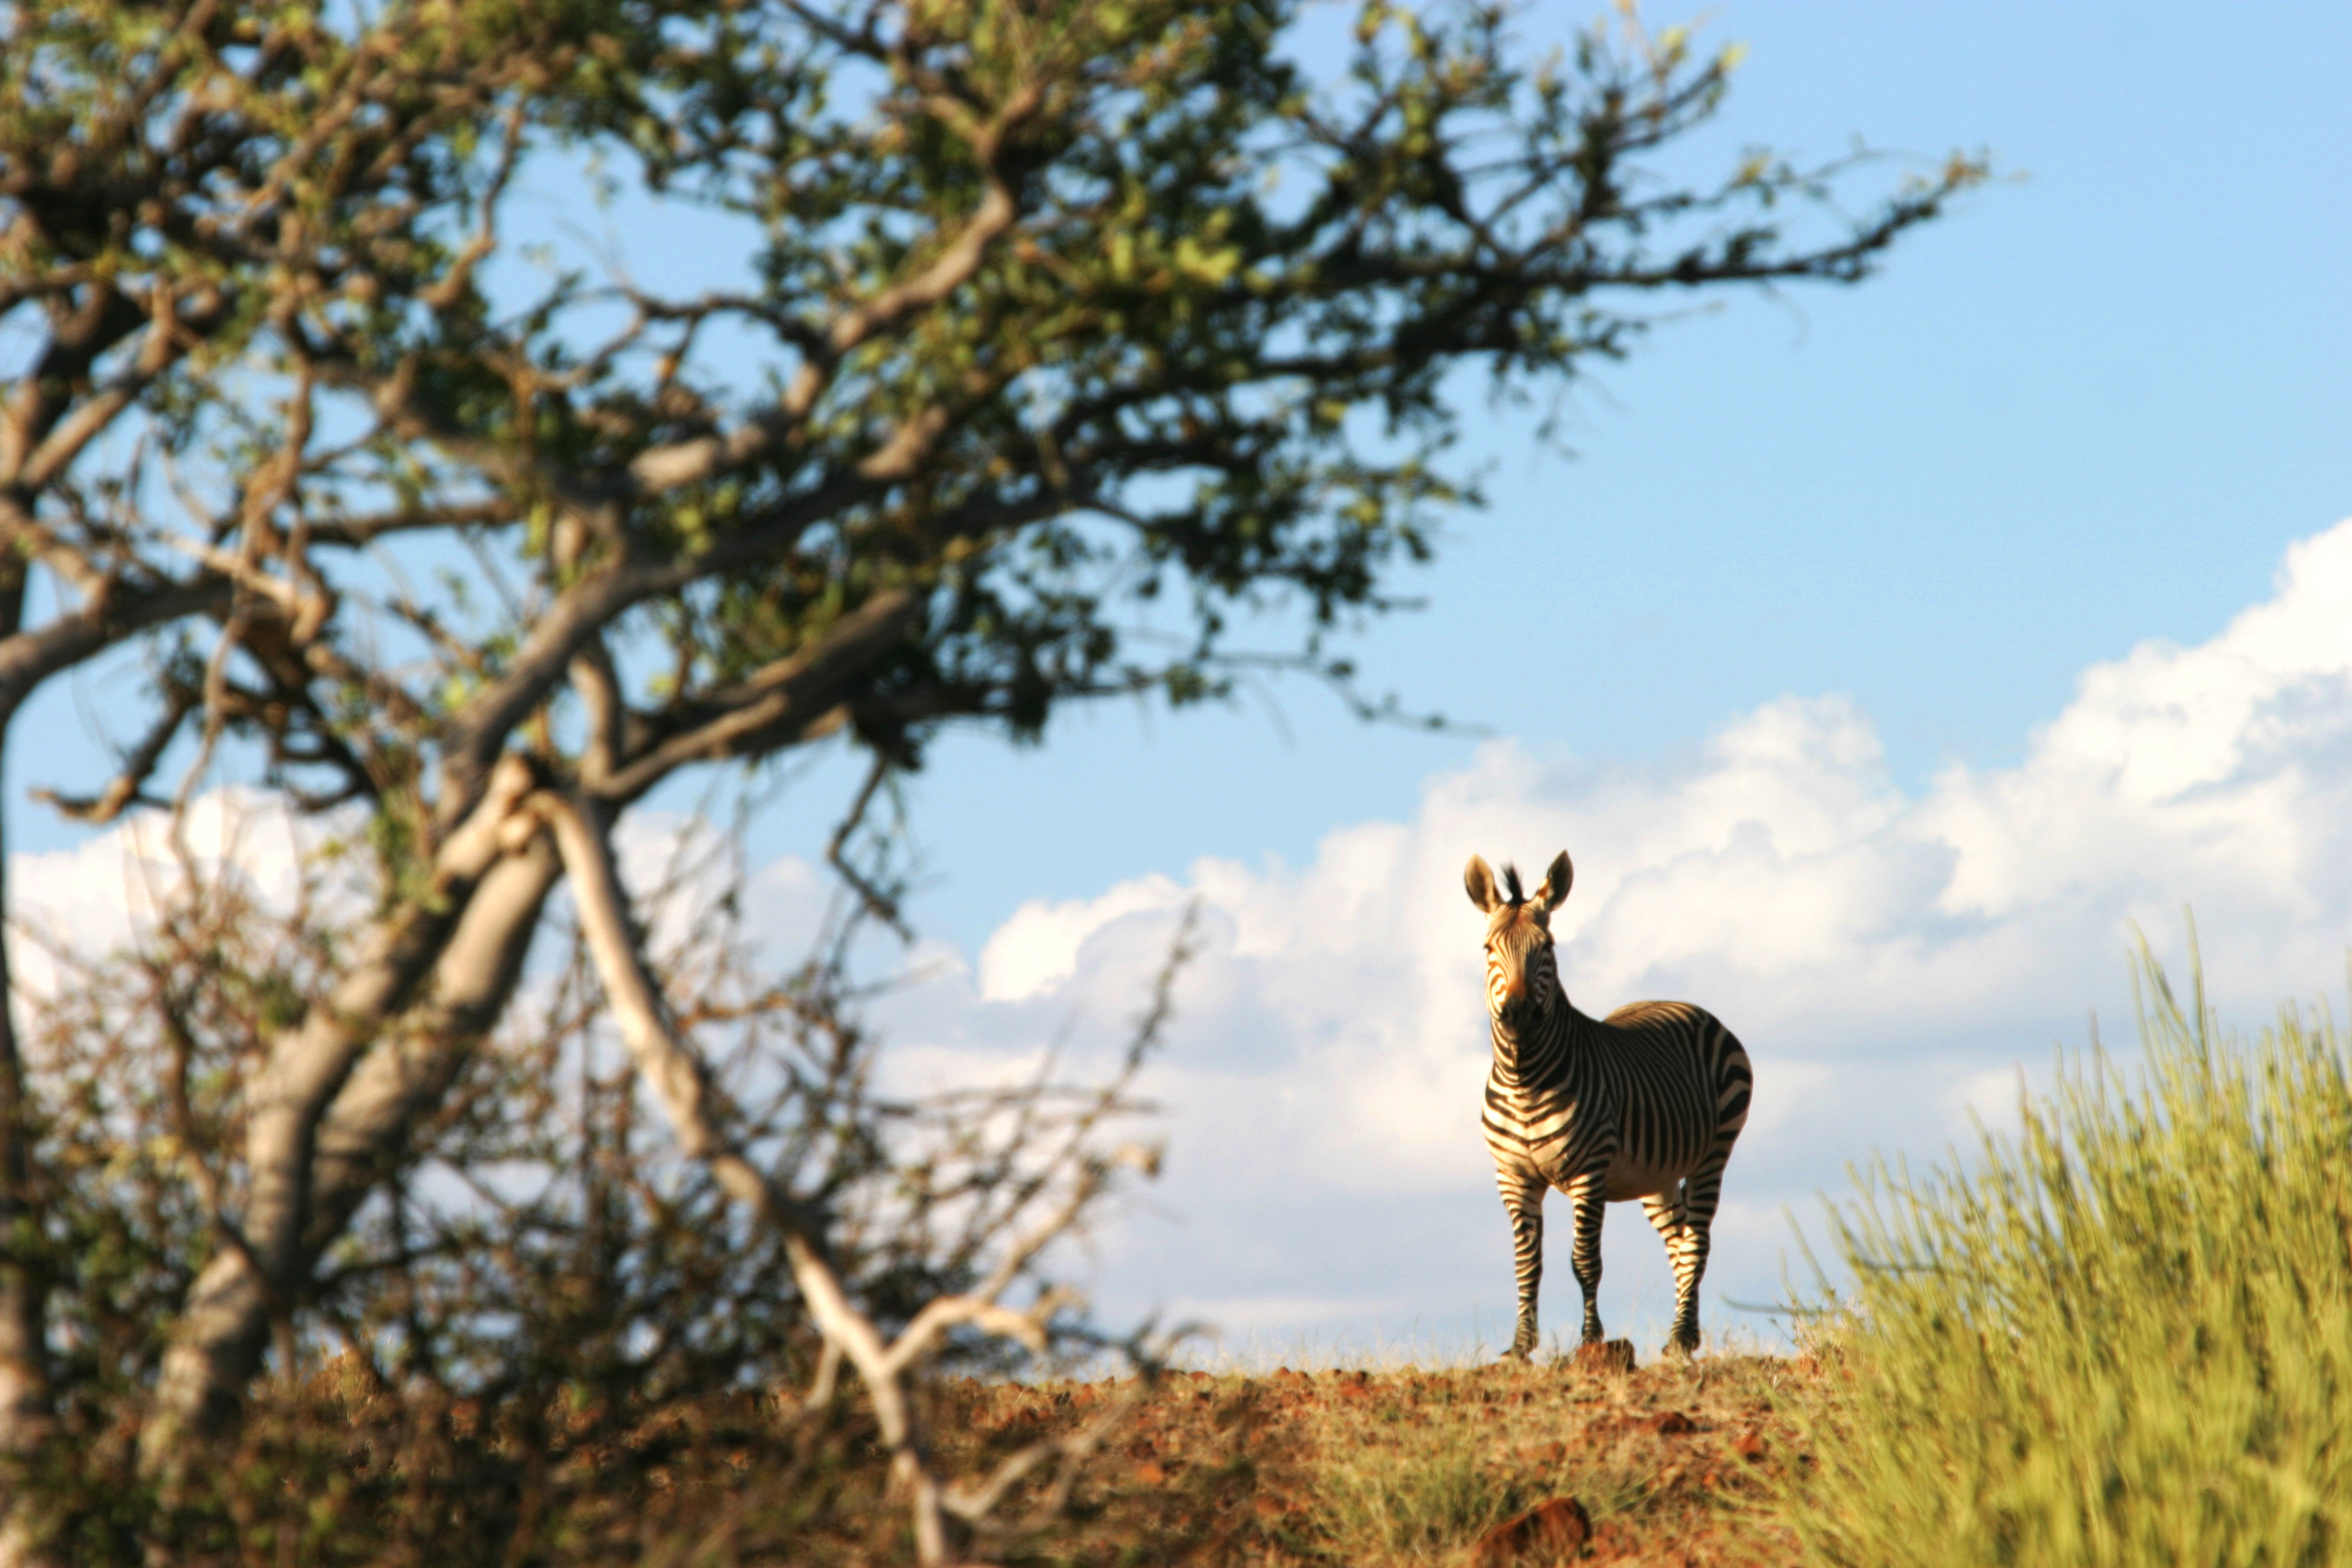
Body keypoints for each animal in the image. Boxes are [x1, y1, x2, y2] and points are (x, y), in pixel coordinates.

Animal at [1458, 851, 1759, 1354]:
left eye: (1548, 947)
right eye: (1487, 949)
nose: (1518, 1015)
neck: (1525, 1080)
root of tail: (1687, 1006)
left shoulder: (1589, 1172)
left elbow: (1585, 1262)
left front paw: (1591, 1341)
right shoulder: (1514, 1177)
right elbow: (1527, 1263)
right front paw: (1521, 1346)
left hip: (1714, 1152)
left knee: (1697, 1240)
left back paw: (1681, 1338)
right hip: (1656, 1174)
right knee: (1679, 1242)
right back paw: (1686, 1336)